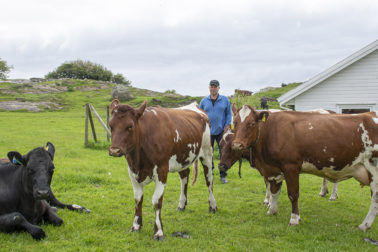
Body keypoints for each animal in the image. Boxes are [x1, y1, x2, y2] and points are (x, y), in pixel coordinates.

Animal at [108, 99, 217, 239]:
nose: (114, 150)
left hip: (207, 153)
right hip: (183, 156)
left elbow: (156, 201)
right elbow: (138, 199)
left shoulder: (162, 170)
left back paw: (213, 206)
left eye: (130, 126)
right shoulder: (132, 171)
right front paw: (136, 226)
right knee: (184, 177)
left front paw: (158, 231)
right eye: (111, 125)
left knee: (209, 180)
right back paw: (182, 204)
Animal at [232, 105, 376, 232]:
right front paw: (272, 210)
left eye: (251, 123)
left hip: (373, 168)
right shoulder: (273, 169)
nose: (237, 144)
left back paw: (364, 225)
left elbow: (293, 194)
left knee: (375, 198)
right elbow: (274, 191)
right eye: (234, 123)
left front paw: (294, 219)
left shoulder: (291, 167)